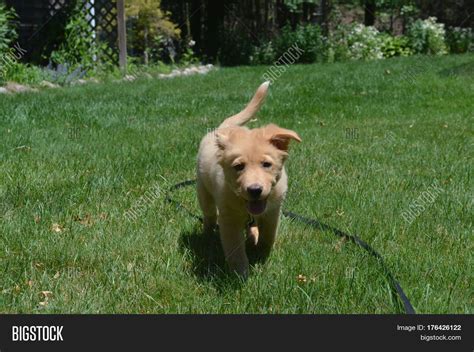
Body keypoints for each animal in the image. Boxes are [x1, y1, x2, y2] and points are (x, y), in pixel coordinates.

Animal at [195, 82, 300, 278]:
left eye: (266, 164)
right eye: (238, 166)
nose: (255, 190)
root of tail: (225, 127)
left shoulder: (272, 213)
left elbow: (268, 237)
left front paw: (261, 256)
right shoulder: (229, 220)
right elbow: (235, 251)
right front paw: (240, 275)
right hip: (203, 191)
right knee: (210, 216)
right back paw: (206, 236)